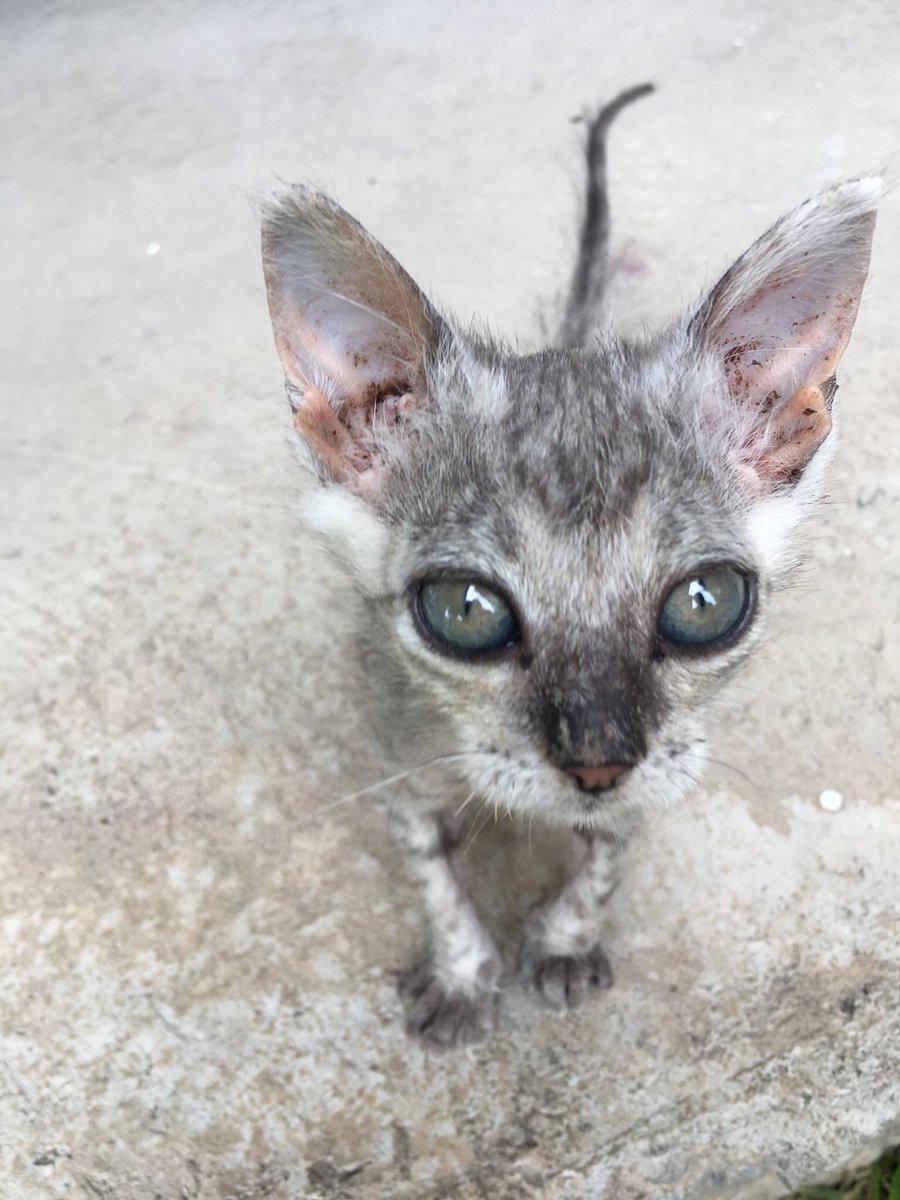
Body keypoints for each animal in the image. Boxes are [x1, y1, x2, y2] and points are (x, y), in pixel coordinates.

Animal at [260, 84, 883, 1046]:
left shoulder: (665, 762)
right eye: (465, 611)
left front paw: (565, 937)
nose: (598, 764)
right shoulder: (398, 762)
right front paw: (463, 970)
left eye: (704, 601)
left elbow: (609, 852)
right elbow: (434, 876)